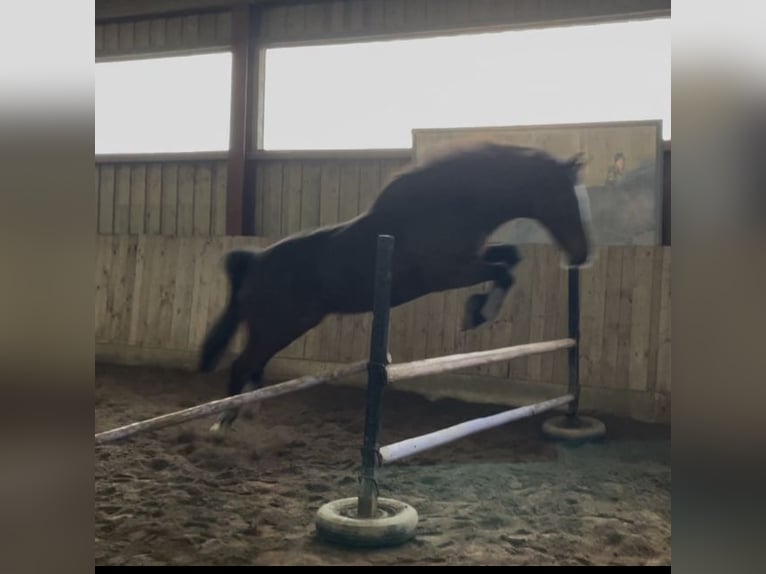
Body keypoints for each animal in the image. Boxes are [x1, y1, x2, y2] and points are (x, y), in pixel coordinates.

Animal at [196, 144, 592, 432]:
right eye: (564, 197)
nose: (583, 254)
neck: (453, 205)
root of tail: (256, 262)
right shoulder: (448, 273)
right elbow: (504, 272)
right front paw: (478, 313)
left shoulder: (472, 257)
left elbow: (511, 258)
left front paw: (478, 309)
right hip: (279, 325)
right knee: (243, 365)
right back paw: (224, 421)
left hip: (284, 326)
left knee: (254, 366)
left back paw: (248, 411)